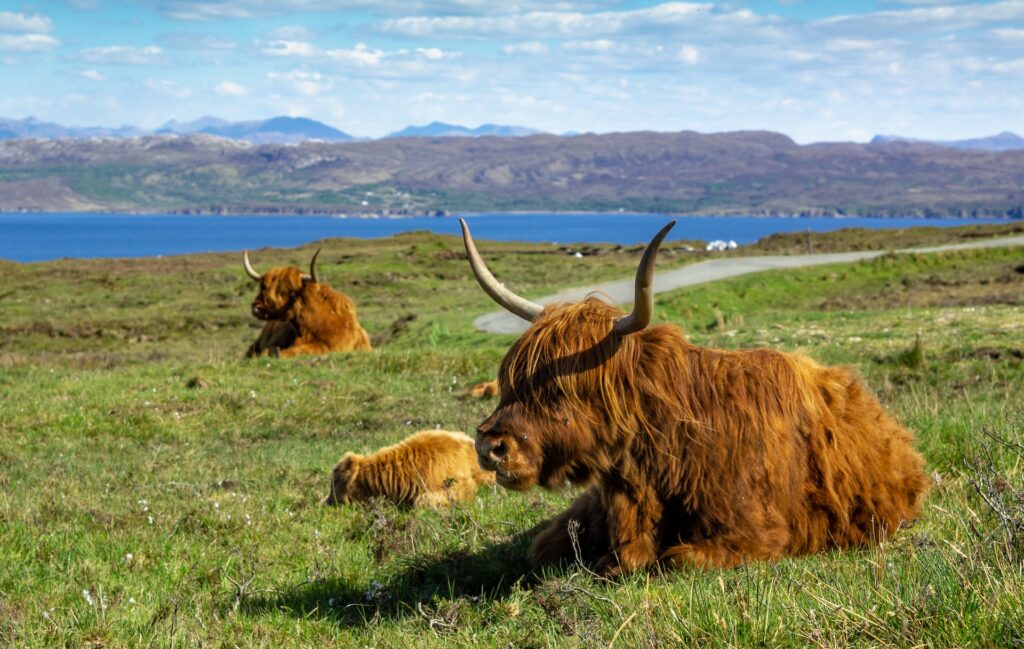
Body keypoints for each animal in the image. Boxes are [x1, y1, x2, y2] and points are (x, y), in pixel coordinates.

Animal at [242, 248, 372, 358]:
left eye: (291, 293)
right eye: (263, 287)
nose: (256, 307)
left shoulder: (333, 345)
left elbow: (304, 349)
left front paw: (274, 353)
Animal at [460, 219, 933, 569]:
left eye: (561, 388)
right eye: (511, 379)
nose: (489, 445)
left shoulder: (757, 534)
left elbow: (675, 559)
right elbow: (545, 546)